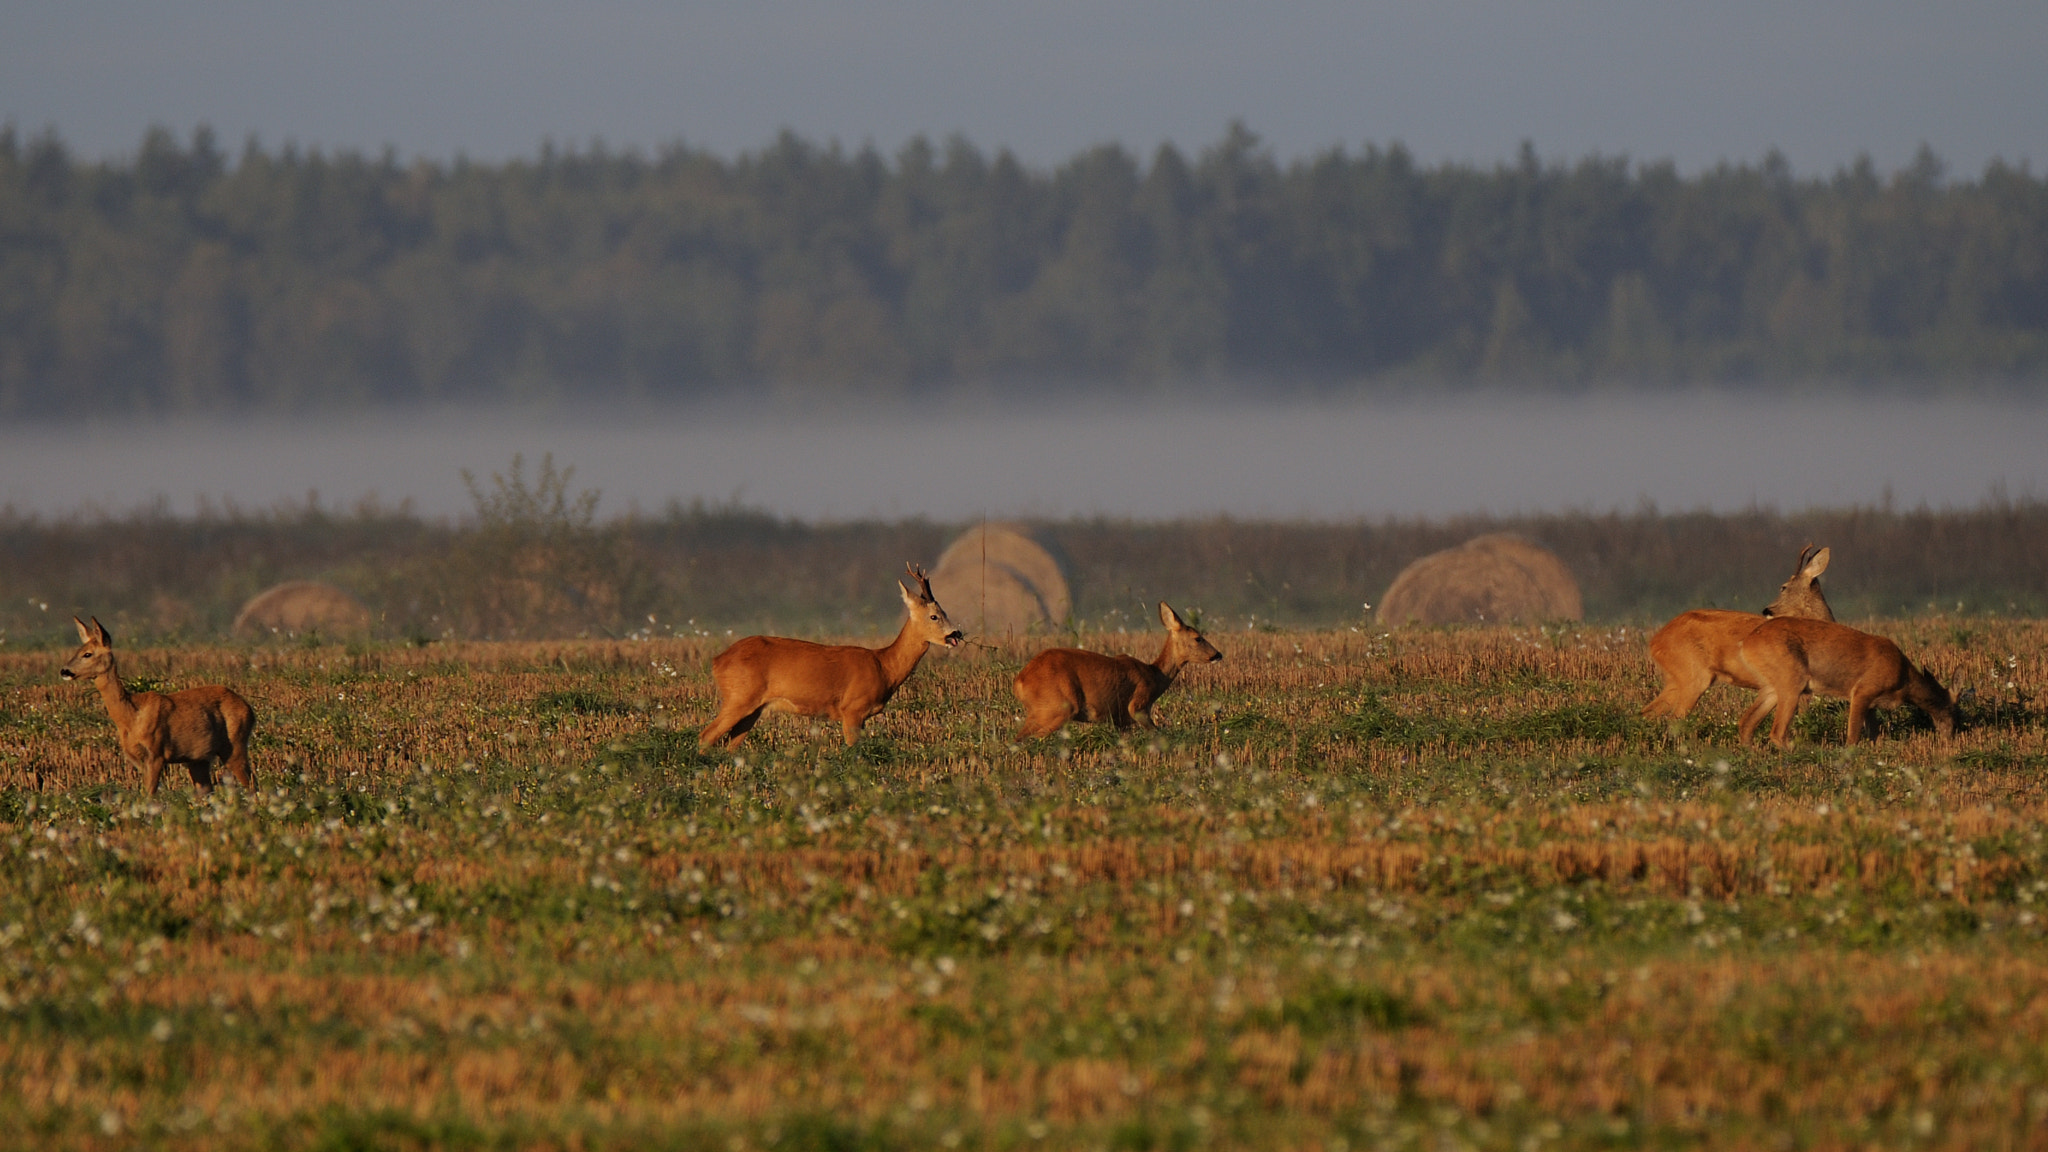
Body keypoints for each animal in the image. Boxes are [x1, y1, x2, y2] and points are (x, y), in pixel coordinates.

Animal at [59, 616, 257, 795]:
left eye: (88, 653)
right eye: (78, 650)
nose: (64, 671)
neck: (131, 717)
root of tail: (249, 708)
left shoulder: (156, 753)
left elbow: (149, 796)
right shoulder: (137, 759)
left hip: (234, 743)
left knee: (252, 783)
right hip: (198, 758)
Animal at [697, 564, 964, 750]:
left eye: (944, 611)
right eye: (934, 616)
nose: (956, 633)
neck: (884, 666)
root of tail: (717, 661)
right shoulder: (852, 709)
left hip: (753, 707)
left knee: (731, 744)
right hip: (739, 697)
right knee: (706, 736)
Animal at [1012, 601, 1222, 739]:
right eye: (1198, 638)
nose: (1218, 654)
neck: (1154, 675)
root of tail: (1020, 681)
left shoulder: (1121, 721)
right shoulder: (1138, 704)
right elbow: (1157, 732)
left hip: (1040, 711)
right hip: (1059, 706)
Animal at [1641, 545, 1834, 721]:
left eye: (1783, 587)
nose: (1767, 610)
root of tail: (1655, 641)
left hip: (1676, 678)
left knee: (1647, 712)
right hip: (1693, 674)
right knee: (1675, 718)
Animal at [1735, 617, 1957, 748]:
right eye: (1953, 709)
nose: (1951, 735)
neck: (1905, 680)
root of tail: (1746, 643)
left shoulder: (1872, 704)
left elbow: (1873, 735)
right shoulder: (1862, 691)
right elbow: (1853, 736)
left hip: (1772, 687)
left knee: (1746, 723)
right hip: (1792, 681)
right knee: (1777, 732)